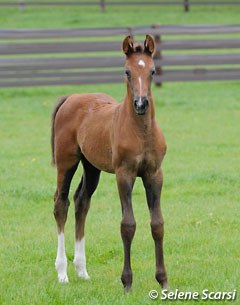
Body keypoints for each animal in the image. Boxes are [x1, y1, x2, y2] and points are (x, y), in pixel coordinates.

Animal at [51, 33, 169, 290]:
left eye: (153, 71)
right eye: (127, 71)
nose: (141, 104)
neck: (142, 132)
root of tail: (71, 97)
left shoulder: (154, 174)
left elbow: (157, 224)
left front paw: (163, 280)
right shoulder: (124, 175)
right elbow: (128, 225)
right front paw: (127, 282)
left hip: (91, 166)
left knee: (81, 202)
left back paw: (82, 270)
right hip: (67, 161)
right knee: (61, 204)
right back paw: (62, 273)